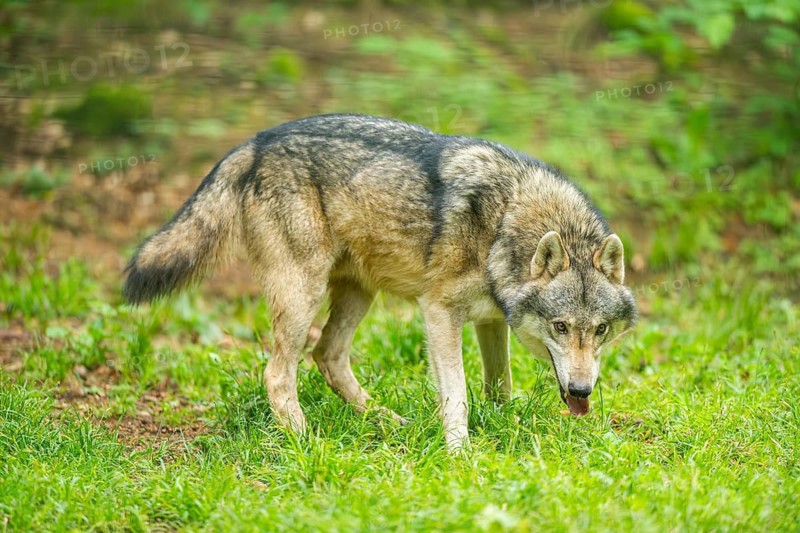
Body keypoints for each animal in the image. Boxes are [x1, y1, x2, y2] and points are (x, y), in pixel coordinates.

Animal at [124, 114, 637, 449]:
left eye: (600, 331)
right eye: (560, 327)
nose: (582, 392)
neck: (505, 221)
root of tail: (257, 141)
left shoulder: (490, 321)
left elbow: (499, 387)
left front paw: (504, 430)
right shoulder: (439, 313)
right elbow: (457, 396)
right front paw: (461, 454)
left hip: (358, 295)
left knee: (327, 355)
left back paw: (387, 421)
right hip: (303, 295)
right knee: (277, 372)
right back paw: (307, 441)